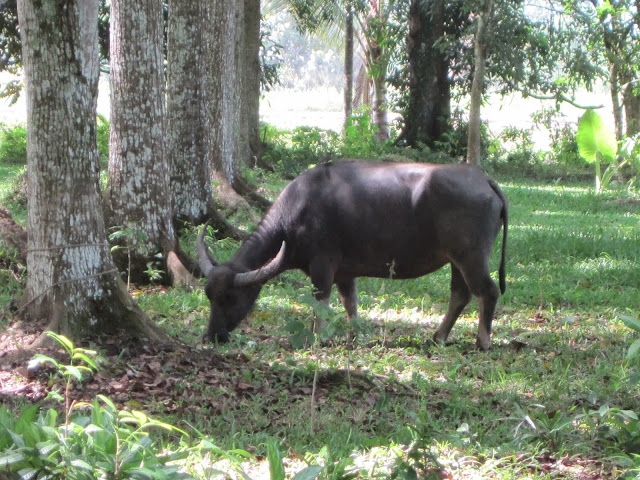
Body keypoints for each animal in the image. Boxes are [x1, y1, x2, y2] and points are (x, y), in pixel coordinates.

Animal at [198, 160, 508, 348]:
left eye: (231, 298)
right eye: (209, 296)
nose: (212, 336)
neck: (297, 212)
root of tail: (485, 180)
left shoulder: (322, 266)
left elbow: (320, 302)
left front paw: (316, 337)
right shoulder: (345, 274)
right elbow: (351, 304)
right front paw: (355, 335)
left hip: (471, 256)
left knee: (487, 291)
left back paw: (482, 342)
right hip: (455, 258)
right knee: (461, 294)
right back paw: (439, 336)